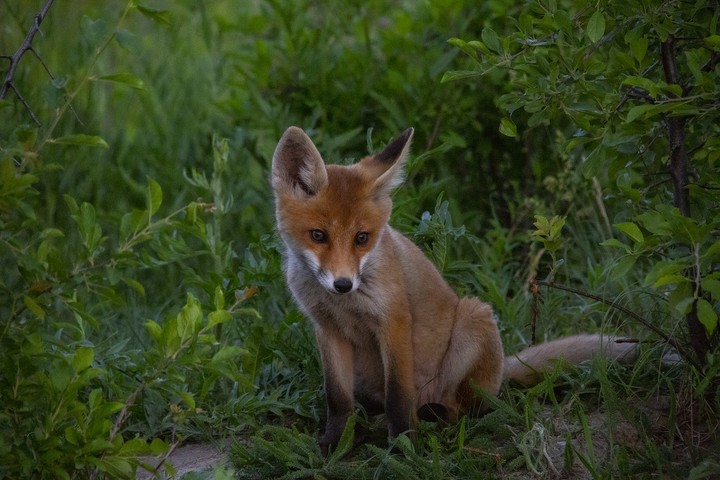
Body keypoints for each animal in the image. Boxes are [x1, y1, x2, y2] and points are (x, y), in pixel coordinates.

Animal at [271, 126, 636, 454]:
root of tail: (500, 371)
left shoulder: (394, 322)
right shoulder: (327, 329)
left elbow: (398, 397)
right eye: (318, 236)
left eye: (362, 238)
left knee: (470, 407)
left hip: (475, 319)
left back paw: (436, 413)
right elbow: (337, 399)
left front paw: (404, 447)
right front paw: (335, 443)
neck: (344, 307)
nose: (343, 284)